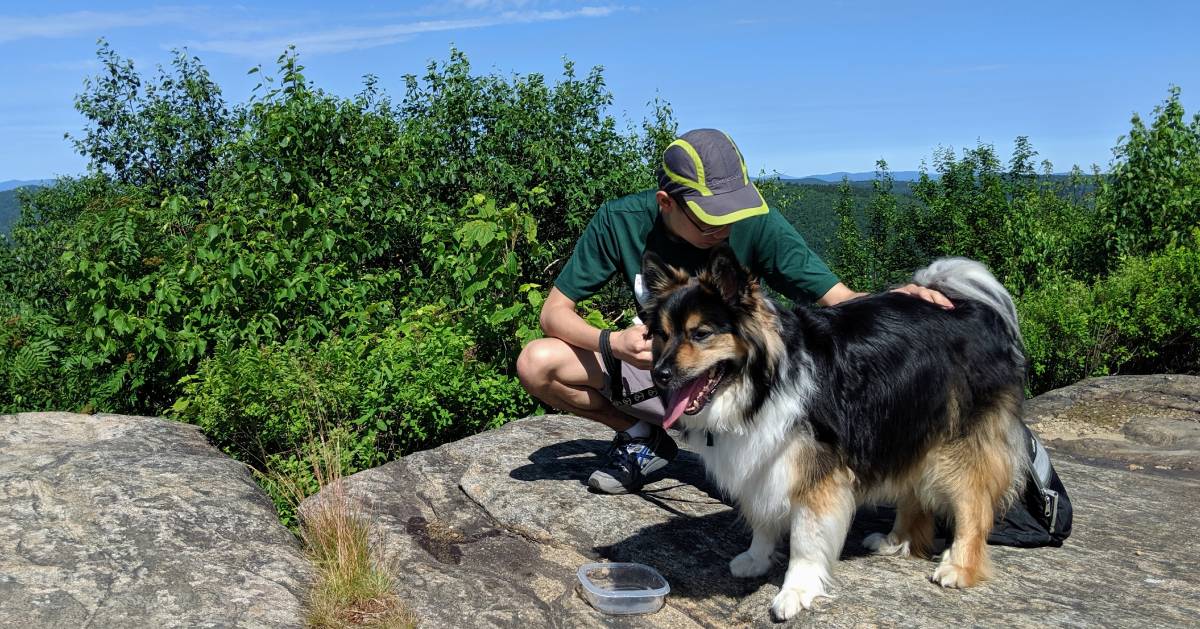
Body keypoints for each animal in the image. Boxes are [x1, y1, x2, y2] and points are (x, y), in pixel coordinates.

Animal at [643, 244, 1027, 619]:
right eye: (661, 334)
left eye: (701, 334)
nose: (659, 374)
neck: (762, 383)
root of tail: (972, 309)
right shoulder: (764, 458)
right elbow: (762, 516)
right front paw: (756, 558)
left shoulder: (815, 470)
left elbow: (805, 539)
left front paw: (796, 591)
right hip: (907, 425)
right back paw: (895, 541)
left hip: (956, 442)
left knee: (974, 503)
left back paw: (958, 567)